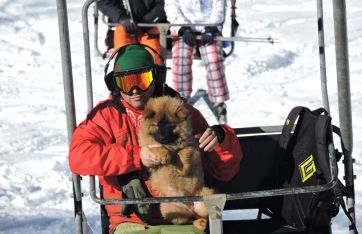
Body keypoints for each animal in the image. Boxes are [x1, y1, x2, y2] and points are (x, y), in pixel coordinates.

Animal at [138, 96, 212, 231]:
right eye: (155, 125)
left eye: (170, 126)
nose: (162, 138)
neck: (171, 144)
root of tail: (189, 205)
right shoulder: (148, 150)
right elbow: (156, 146)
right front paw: (164, 155)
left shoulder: (191, 146)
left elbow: (183, 153)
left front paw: (183, 170)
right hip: (169, 208)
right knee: (188, 219)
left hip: (205, 197)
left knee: (201, 215)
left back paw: (202, 223)